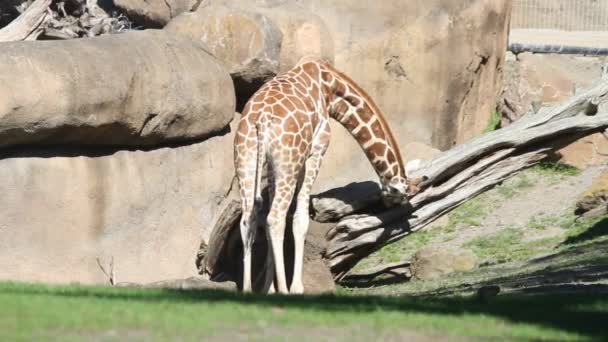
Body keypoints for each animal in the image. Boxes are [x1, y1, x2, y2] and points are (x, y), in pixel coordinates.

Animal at [233, 56, 418, 294]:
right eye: (401, 197)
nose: (389, 208)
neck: (331, 87)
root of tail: (262, 120)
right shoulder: (317, 149)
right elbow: (300, 219)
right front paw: (295, 288)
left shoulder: (275, 168)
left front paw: (268, 289)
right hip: (287, 162)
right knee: (275, 218)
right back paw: (284, 290)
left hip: (247, 159)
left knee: (249, 219)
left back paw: (248, 290)